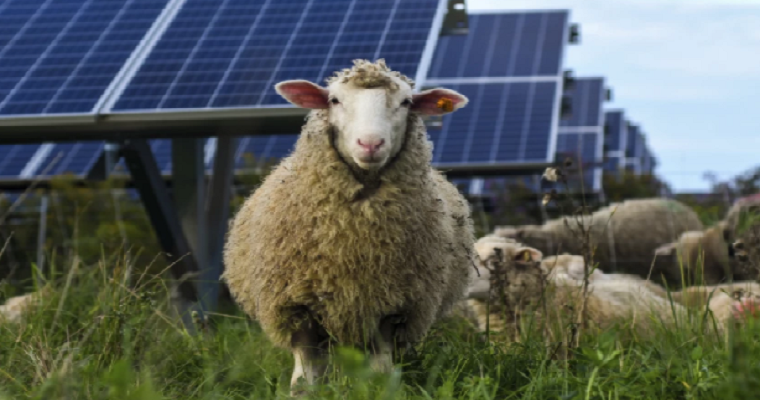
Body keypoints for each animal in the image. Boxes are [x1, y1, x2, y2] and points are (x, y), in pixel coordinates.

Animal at [222, 59, 474, 395]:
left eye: (407, 102)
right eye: (334, 100)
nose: (370, 143)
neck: (353, 239)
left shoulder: (392, 306)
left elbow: (382, 373)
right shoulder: (297, 307)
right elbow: (304, 379)